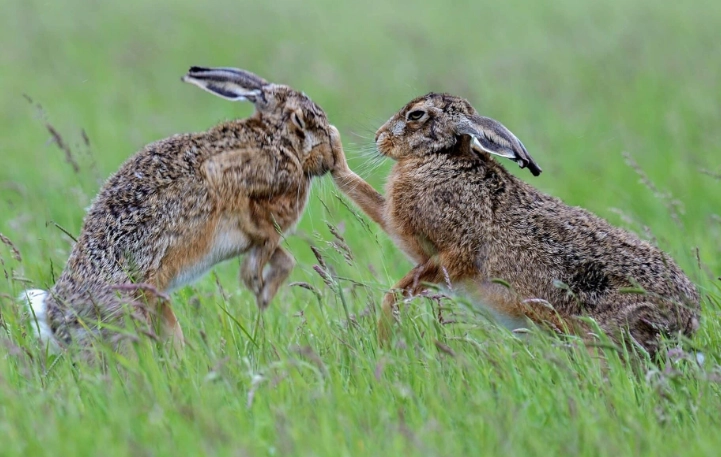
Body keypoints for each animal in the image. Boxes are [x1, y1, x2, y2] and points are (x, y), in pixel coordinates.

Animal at [19, 66, 341, 354]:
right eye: (301, 119)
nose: (329, 159)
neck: (276, 139)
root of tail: (55, 318)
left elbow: (280, 255)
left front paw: (262, 292)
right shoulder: (233, 180)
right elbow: (262, 237)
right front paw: (258, 286)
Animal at [330, 92, 700, 356]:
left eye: (416, 115)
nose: (379, 138)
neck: (442, 157)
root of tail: (687, 318)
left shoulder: (454, 254)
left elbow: (397, 292)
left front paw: (383, 337)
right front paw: (333, 153)